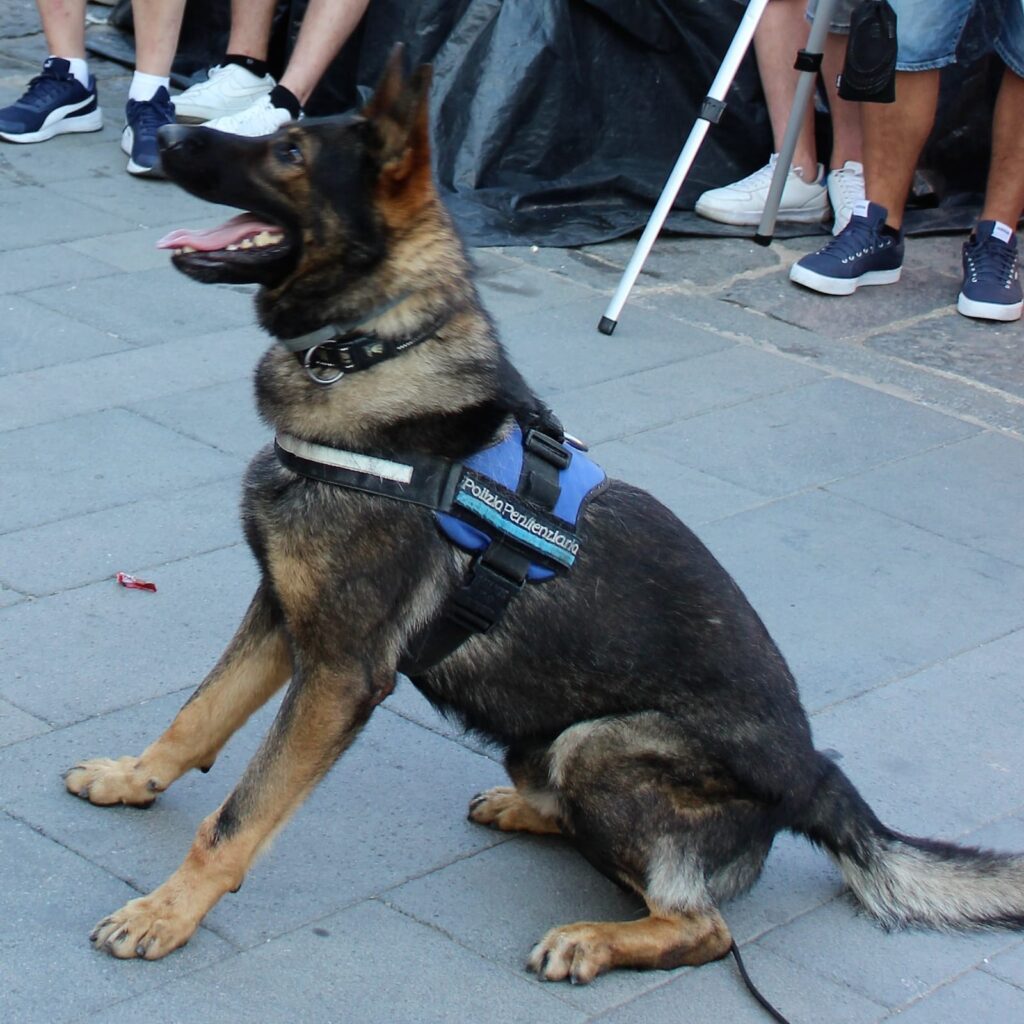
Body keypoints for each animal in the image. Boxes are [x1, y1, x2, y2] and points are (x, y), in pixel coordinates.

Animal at [66, 54, 1024, 974]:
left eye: (290, 152)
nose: (166, 134)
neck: (372, 352)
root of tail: (817, 777)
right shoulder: (279, 614)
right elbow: (197, 714)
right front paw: (132, 778)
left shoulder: (338, 674)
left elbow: (238, 814)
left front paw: (166, 913)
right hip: (543, 743)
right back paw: (526, 812)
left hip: (600, 744)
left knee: (701, 925)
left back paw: (592, 939)